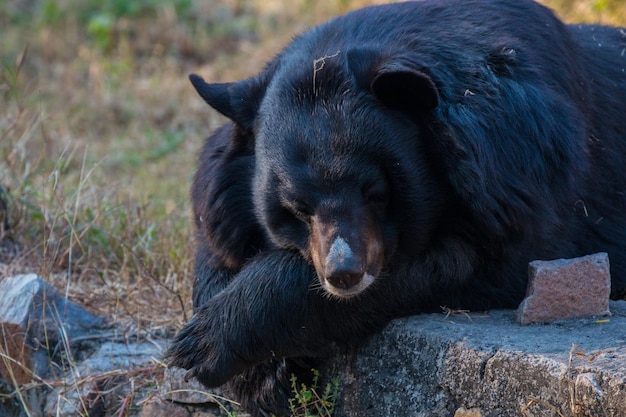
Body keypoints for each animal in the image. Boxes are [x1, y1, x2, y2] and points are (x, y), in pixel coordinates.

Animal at [165, 1, 624, 414]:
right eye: (296, 207)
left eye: (375, 192)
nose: (344, 274)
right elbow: (218, 244)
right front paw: (262, 378)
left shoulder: (516, 175)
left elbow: (465, 262)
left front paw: (204, 344)